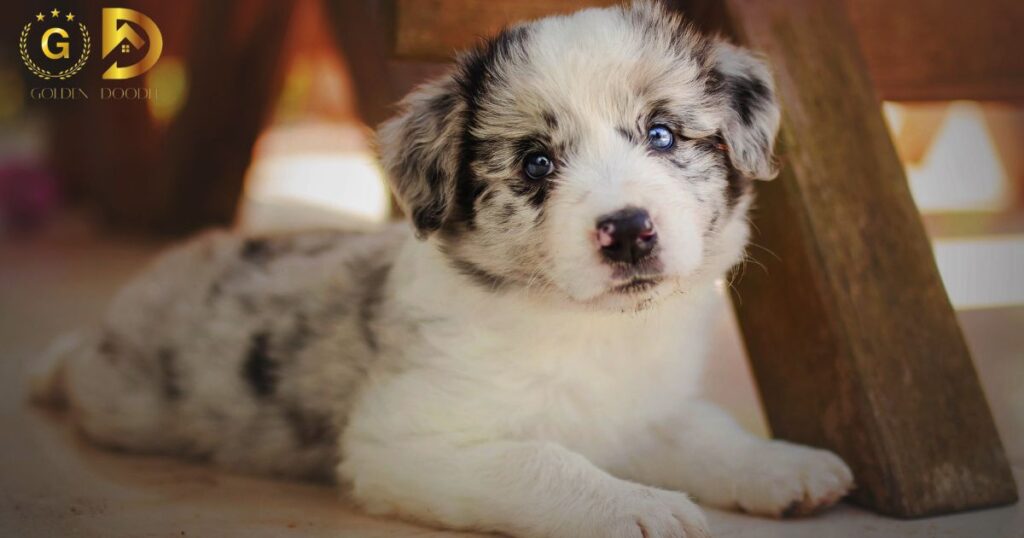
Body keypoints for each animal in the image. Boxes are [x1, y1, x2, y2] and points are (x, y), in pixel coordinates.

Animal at [29, 2, 856, 532]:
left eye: (661, 134)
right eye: (535, 162)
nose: (627, 233)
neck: (587, 327)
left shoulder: (641, 407)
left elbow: (708, 431)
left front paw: (786, 468)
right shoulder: (409, 438)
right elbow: (544, 462)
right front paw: (639, 507)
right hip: (117, 396)